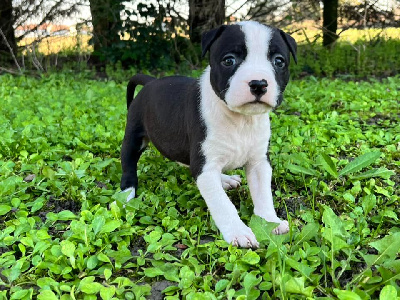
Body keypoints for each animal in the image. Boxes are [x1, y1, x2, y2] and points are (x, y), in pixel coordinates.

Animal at [120, 19, 298, 247]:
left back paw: (225, 179)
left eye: (279, 61)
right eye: (229, 60)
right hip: (134, 137)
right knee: (129, 165)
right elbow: (222, 203)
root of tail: (150, 81)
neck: (241, 120)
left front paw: (269, 221)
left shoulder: (259, 163)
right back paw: (126, 195)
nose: (258, 84)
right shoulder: (205, 166)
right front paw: (238, 231)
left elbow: (263, 194)